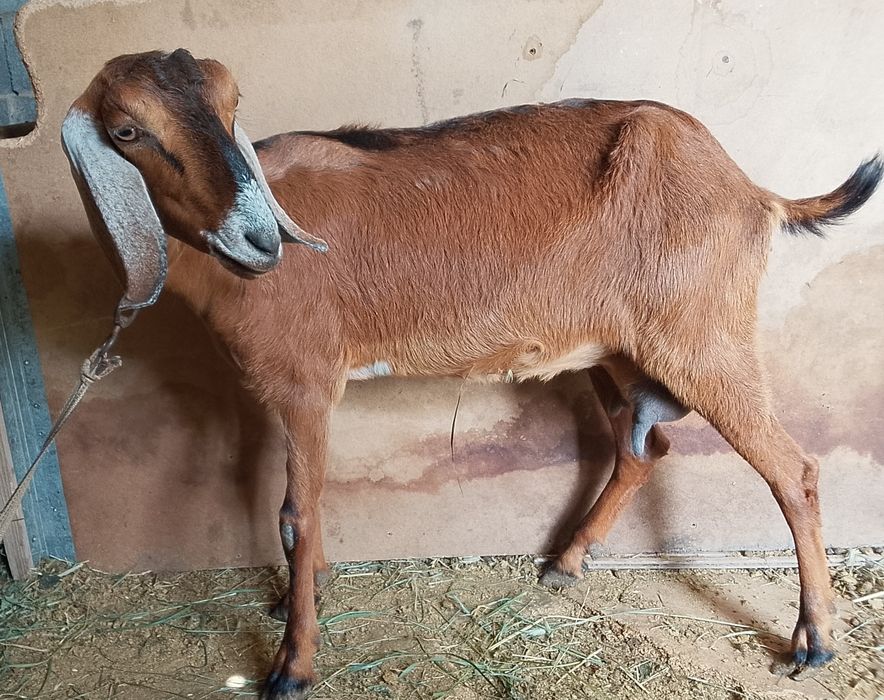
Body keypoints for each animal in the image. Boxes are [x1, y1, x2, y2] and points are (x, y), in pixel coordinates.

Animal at [62, 49, 881, 699]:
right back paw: (567, 563)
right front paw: (306, 596)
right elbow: (305, 503)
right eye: (127, 131)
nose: (259, 237)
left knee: (793, 468)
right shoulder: (288, 393)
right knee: (643, 448)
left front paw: (292, 667)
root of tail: (754, 191)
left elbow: (296, 512)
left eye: (232, 105)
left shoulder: (305, 383)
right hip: (616, 353)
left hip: (702, 338)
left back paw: (813, 641)